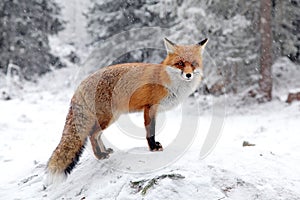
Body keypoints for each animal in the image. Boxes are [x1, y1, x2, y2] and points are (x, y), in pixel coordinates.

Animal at [47, 37, 207, 183]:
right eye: (180, 63)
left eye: (193, 64)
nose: (188, 75)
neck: (169, 82)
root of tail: (80, 85)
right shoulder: (150, 107)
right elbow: (150, 131)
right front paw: (153, 147)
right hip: (107, 118)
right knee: (92, 135)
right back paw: (100, 155)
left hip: (111, 118)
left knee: (97, 135)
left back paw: (105, 151)